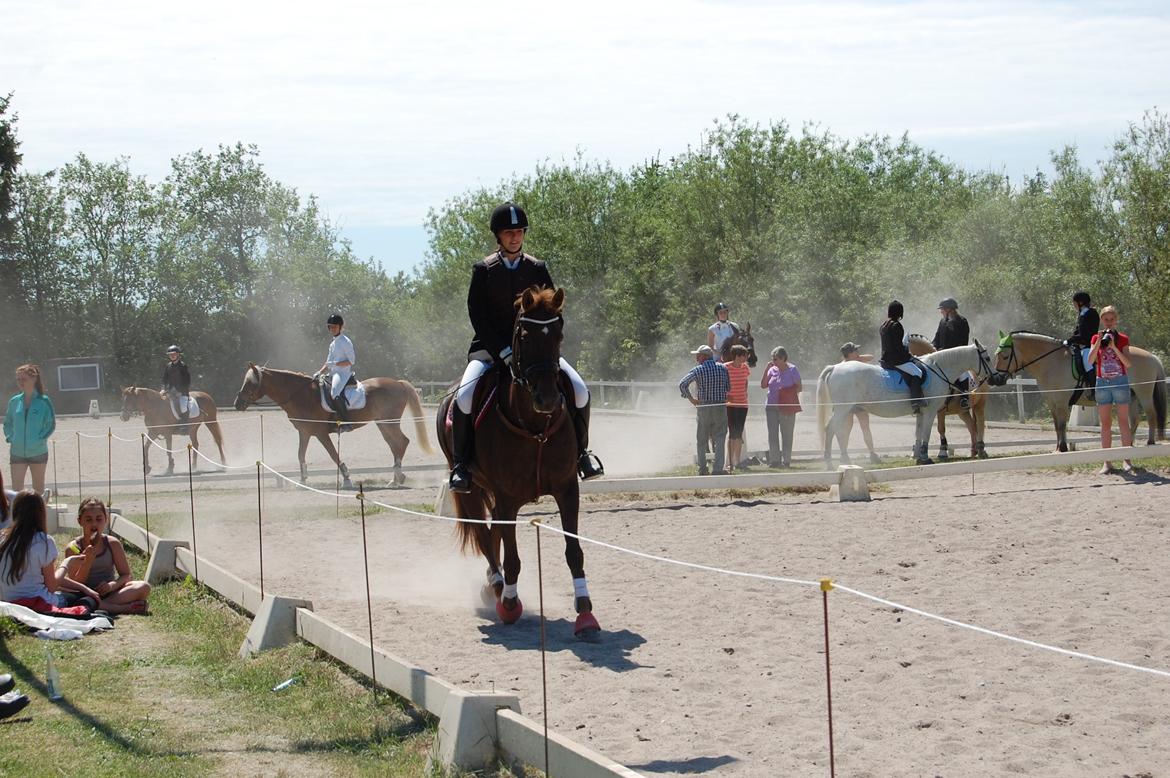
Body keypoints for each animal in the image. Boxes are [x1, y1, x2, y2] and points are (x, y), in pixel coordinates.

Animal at [231, 365, 430, 486]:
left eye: (250, 383)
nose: (237, 403)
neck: (300, 395)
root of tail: (398, 383)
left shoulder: (320, 433)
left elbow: (334, 455)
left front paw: (347, 479)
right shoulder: (305, 432)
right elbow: (300, 455)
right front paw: (303, 481)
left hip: (389, 422)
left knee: (401, 442)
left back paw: (398, 477)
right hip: (383, 423)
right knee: (395, 444)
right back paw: (396, 478)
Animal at [439, 287, 603, 641]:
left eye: (559, 335)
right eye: (524, 337)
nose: (548, 399)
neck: (535, 426)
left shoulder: (567, 490)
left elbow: (574, 552)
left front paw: (585, 615)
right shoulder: (507, 497)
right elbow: (512, 557)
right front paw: (510, 606)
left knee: (492, 534)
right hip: (473, 488)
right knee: (484, 534)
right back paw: (498, 586)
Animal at [819, 341, 992, 463]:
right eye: (988, 358)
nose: (996, 377)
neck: (938, 370)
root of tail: (835, 367)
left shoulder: (921, 412)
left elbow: (918, 433)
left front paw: (916, 456)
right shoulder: (931, 412)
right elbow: (926, 433)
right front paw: (925, 458)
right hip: (843, 410)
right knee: (832, 429)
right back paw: (832, 461)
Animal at [992, 327, 1165, 449]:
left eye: (1005, 356)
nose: (996, 379)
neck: (1051, 362)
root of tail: (1152, 356)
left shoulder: (1061, 401)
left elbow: (1062, 424)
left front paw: (1062, 448)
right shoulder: (1051, 402)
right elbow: (1056, 425)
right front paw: (1057, 448)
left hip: (1143, 394)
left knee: (1151, 415)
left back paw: (1149, 442)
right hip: (1131, 396)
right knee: (1134, 420)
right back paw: (1128, 443)